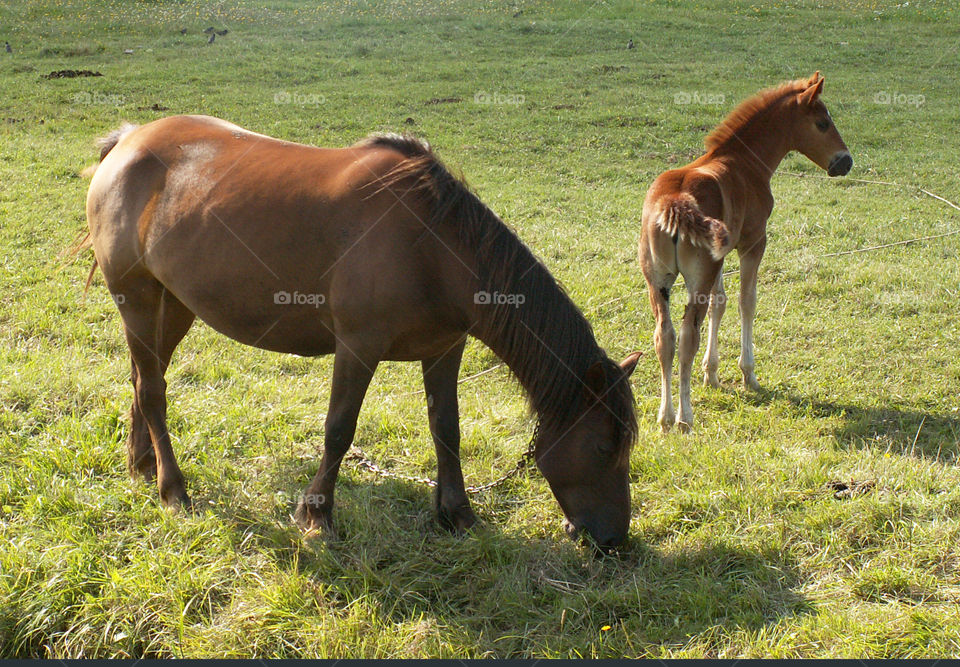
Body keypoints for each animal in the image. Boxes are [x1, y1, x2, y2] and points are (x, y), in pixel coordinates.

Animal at [77, 115, 636, 552]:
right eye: (604, 448)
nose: (614, 541)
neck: (430, 246)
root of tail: (128, 141)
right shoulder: (358, 348)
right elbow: (339, 430)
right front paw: (317, 516)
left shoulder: (445, 350)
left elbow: (446, 429)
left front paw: (456, 513)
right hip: (137, 299)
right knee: (152, 390)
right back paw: (173, 490)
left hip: (173, 306)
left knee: (144, 380)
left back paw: (142, 465)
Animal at [636, 73, 856, 434]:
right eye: (823, 123)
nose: (845, 161)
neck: (743, 160)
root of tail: (675, 205)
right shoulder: (753, 243)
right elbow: (746, 302)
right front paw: (748, 374)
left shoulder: (720, 257)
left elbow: (720, 303)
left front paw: (711, 374)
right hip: (696, 277)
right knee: (686, 338)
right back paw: (684, 417)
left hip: (658, 280)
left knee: (664, 338)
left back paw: (665, 417)